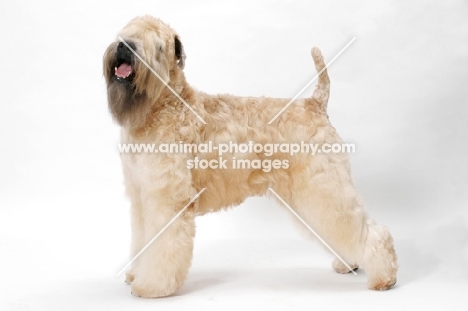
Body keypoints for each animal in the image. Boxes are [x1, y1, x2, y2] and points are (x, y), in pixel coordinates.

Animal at [103, 15, 398, 298]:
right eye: (127, 30)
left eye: (158, 45)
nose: (125, 45)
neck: (161, 107)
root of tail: (315, 103)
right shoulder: (141, 195)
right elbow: (142, 240)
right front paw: (135, 275)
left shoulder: (167, 199)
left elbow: (161, 246)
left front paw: (151, 286)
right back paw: (349, 264)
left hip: (325, 187)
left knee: (369, 231)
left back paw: (384, 277)